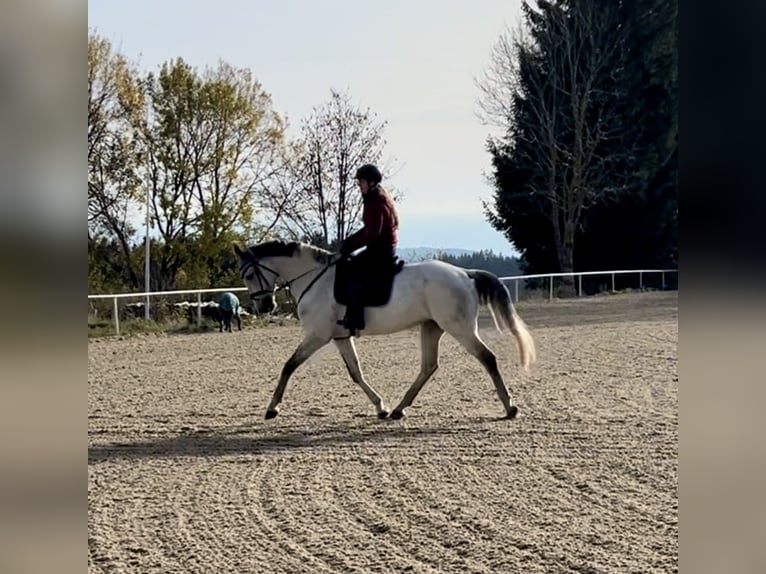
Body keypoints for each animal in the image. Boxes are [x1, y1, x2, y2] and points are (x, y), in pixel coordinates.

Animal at [236, 241, 540, 420]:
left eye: (249, 274)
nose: (265, 306)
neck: (314, 279)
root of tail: (465, 274)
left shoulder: (318, 336)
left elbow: (289, 366)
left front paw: (272, 408)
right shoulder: (339, 337)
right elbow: (356, 372)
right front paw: (380, 406)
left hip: (459, 328)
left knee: (487, 358)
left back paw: (510, 407)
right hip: (432, 327)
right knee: (429, 366)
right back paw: (398, 409)